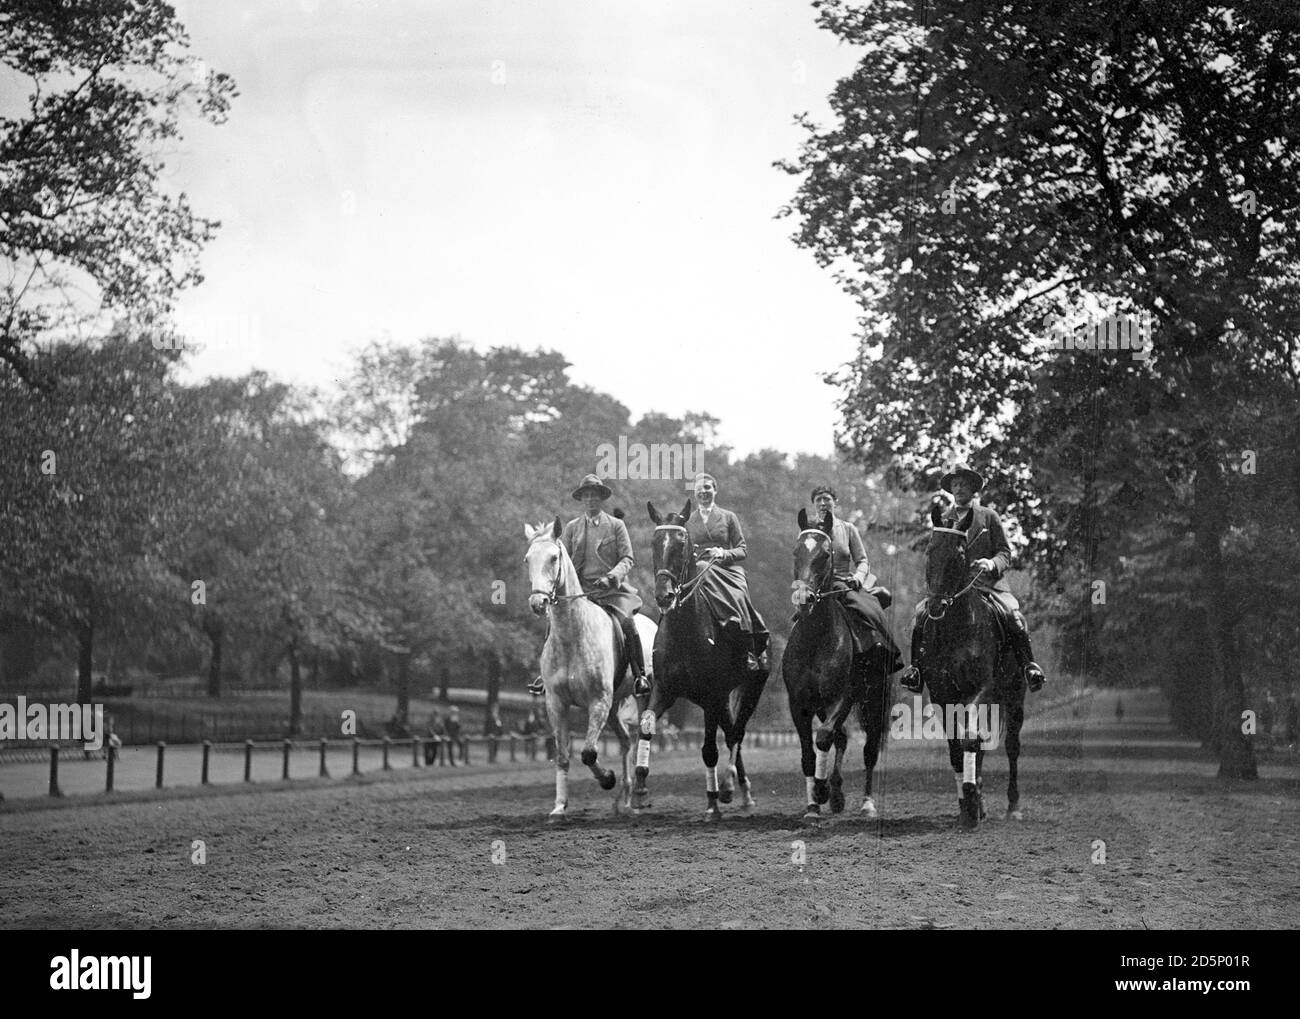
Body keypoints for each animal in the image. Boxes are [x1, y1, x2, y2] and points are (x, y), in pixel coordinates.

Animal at [524, 517, 653, 821]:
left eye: (554, 557)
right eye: (527, 559)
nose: (538, 603)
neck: (572, 635)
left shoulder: (598, 701)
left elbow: (589, 753)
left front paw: (606, 778)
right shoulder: (557, 703)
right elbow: (563, 756)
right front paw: (559, 807)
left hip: (641, 696)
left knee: (642, 736)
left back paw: (639, 792)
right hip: (614, 706)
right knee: (626, 742)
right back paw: (624, 799)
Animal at [632, 499, 768, 821]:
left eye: (681, 544)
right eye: (655, 542)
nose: (664, 595)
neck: (686, 629)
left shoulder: (711, 696)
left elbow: (709, 749)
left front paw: (712, 803)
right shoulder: (666, 690)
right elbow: (646, 726)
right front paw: (640, 789)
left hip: (750, 687)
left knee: (737, 734)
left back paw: (732, 787)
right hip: (722, 700)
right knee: (731, 733)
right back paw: (742, 792)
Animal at [783, 508, 891, 821]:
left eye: (825, 554)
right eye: (796, 551)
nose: (803, 598)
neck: (816, 639)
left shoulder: (842, 698)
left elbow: (823, 739)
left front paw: (820, 791)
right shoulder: (800, 703)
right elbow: (809, 754)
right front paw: (813, 805)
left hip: (874, 702)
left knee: (869, 749)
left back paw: (866, 803)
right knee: (841, 738)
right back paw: (837, 794)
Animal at [914, 500, 1027, 828]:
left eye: (959, 554)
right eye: (930, 550)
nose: (936, 606)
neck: (956, 627)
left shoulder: (981, 690)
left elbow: (970, 742)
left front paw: (972, 802)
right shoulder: (942, 696)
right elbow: (956, 746)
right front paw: (968, 804)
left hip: (1014, 696)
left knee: (1011, 746)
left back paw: (1012, 806)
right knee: (979, 745)